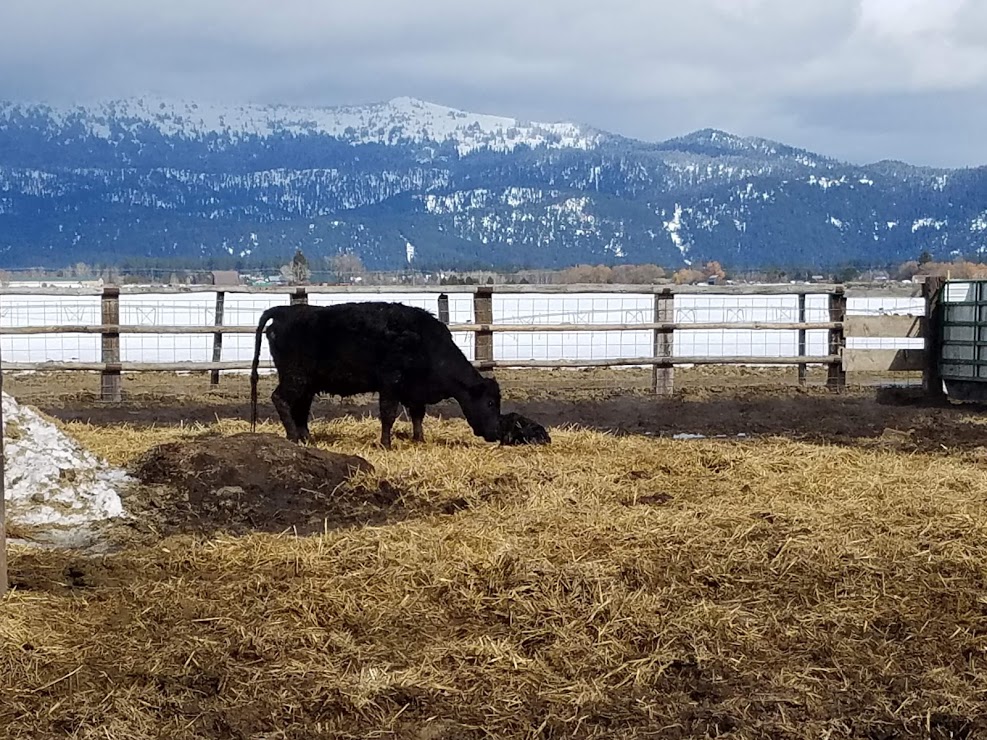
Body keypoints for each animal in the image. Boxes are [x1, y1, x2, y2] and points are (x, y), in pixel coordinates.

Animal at [251, 300, 506, 446]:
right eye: (490, 403)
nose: (496, 432)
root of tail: (285, 312)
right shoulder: (391, 383)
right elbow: (388, 415)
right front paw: (386, 444)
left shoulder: (414, 391)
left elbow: (418, 415)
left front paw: (419, 439)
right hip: (295, 377)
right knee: (280, 399)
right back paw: (294, 437)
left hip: (307, 383)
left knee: (301, 408)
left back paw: (307, 439)